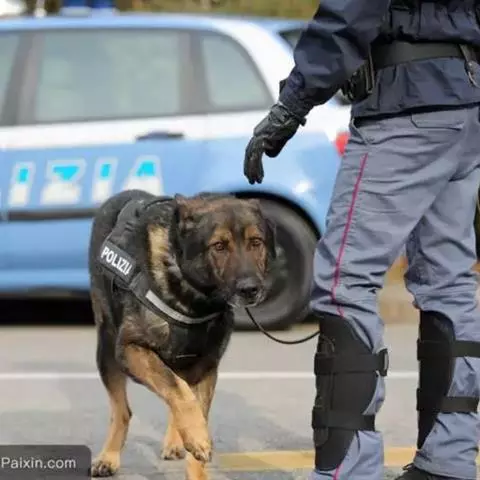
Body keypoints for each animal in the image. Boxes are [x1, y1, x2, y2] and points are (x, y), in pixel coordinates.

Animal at [88, 189, 276, 479]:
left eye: (256, 242)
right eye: (219, 246)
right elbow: (179, 392)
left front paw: (194, 451)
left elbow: (185, 398)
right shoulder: (131, 349)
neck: (194, 298)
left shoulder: (205, 367)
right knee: (123, 411)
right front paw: (197, 436)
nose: (250, 289)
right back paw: (109, 456)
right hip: (107, 350)